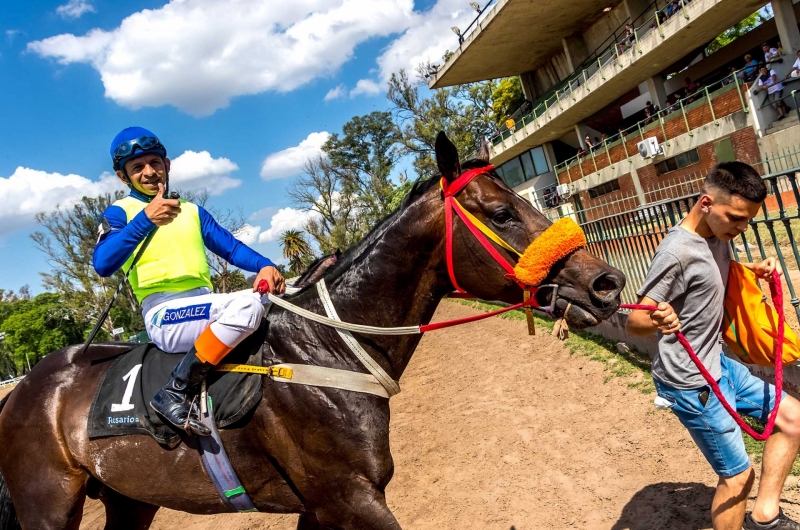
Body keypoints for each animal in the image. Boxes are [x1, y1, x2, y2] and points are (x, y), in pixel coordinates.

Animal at [0, 130, 624, 524]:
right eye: (501, 214)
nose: (606, 282)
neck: (325, 349)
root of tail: (23, 389)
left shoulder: (325, 506)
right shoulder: (349, 498)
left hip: (129, 499)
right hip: (48, 505)